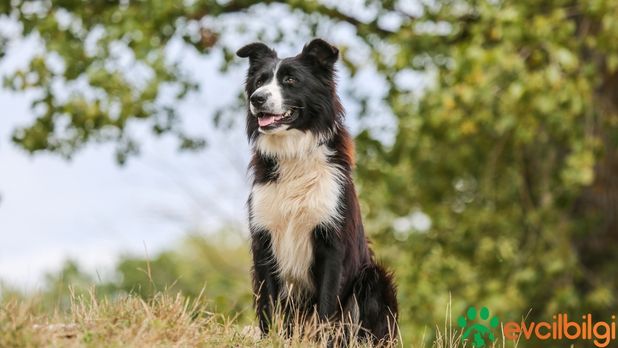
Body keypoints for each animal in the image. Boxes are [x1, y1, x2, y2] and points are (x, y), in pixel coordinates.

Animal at [236, 38, 400, 342]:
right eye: (260, 81)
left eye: (290, 80)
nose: (257, 99)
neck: (293, 153)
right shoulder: (264, 240)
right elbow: (268, 303)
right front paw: (270, 339)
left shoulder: (331, 243)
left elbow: (326, 305)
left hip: (374, 278)